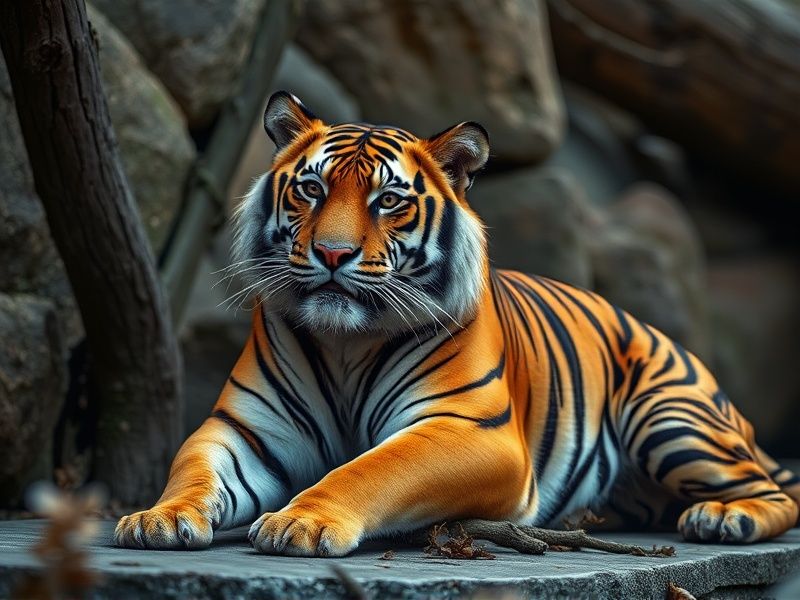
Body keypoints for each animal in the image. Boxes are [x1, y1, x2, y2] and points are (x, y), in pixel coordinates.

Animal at [115, 92, 800, 555]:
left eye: (388, 201)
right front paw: (158, 518)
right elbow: (192, 467)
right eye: (311, 190)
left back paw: (721, 517)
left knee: (775, 491)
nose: (332, 254)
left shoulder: (469, 429)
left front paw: (299, 521)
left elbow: (371, 468)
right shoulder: (246, 427)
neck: (345, 345)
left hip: (668, 415)